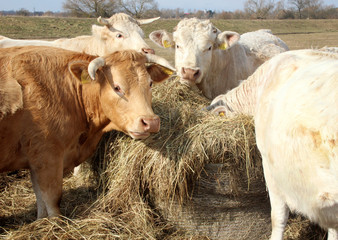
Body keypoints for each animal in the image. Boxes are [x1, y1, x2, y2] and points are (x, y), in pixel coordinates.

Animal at [0, 46, 174, 218]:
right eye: (117, 87)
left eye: (150, 83)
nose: (150, 122)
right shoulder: (48, 156)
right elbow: (52, 199)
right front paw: (55, 222)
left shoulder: (36, 161)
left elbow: (40, 199)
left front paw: (40, 220)